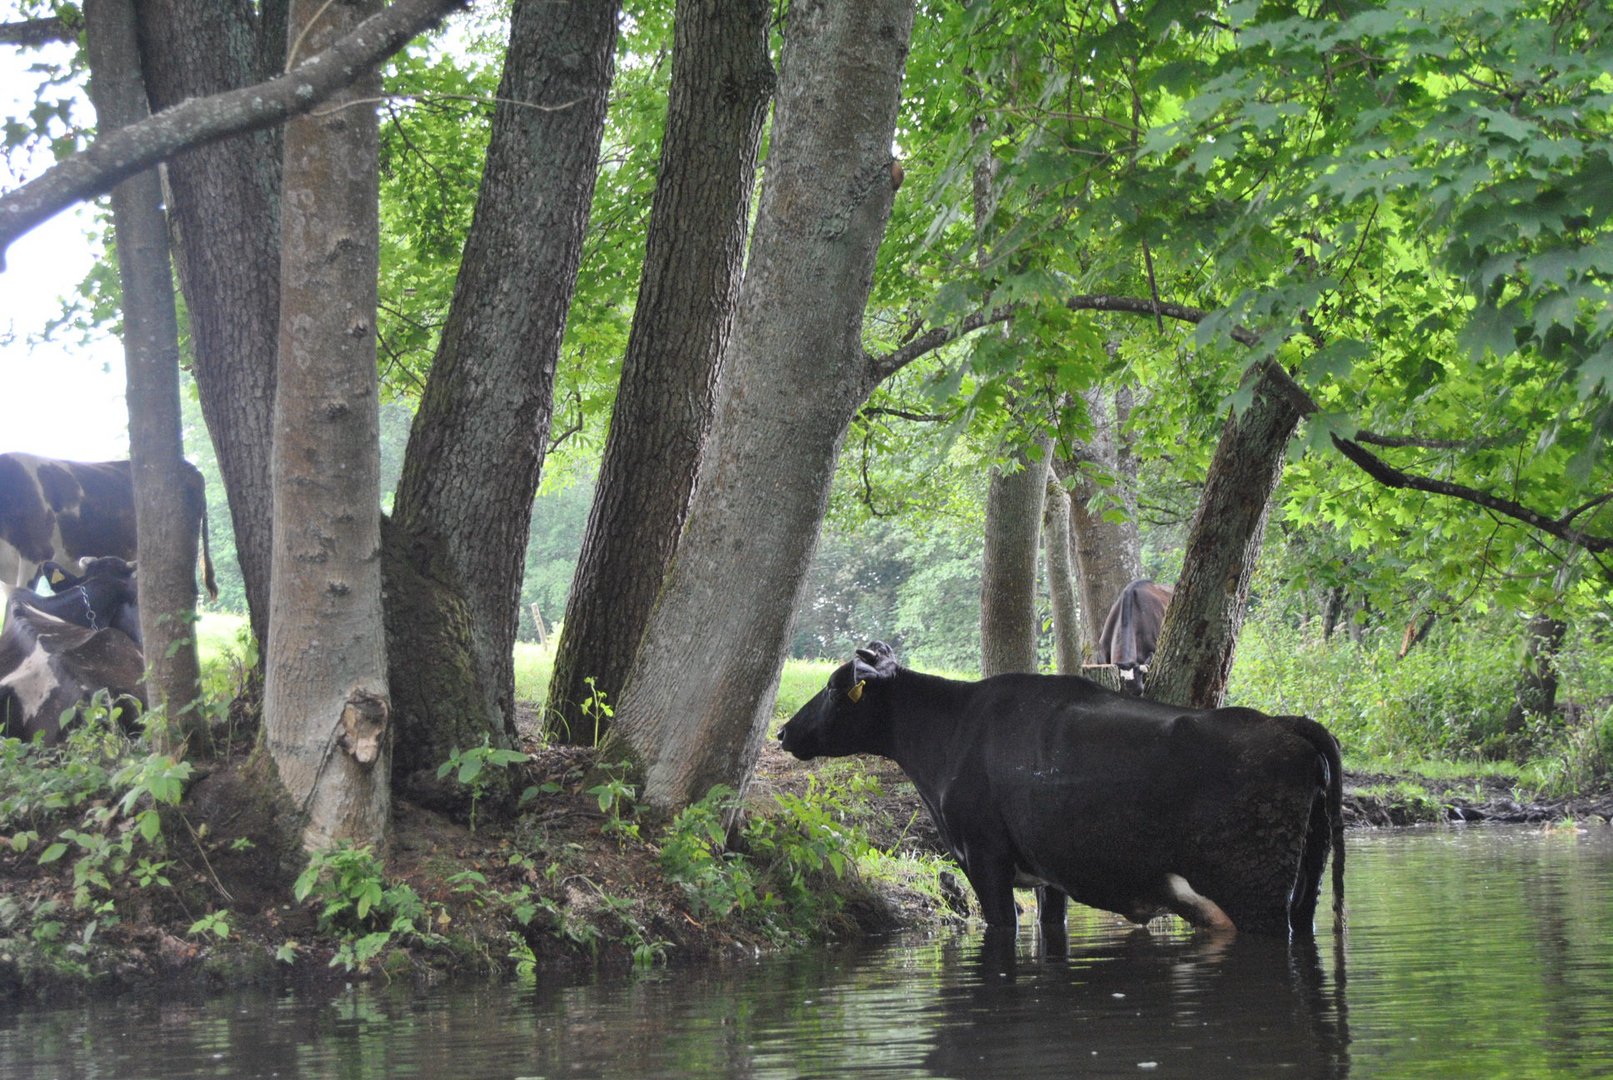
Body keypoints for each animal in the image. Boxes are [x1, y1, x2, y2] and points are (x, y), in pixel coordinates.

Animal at [774, 644, 1342, 941]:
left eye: (831, 688)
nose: (782, 732)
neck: (949, 733)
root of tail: (1283, 724)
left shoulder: (984, 857)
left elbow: (1002, 924)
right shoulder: (1049, 871)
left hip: (1254, 889)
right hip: (1303, 882)